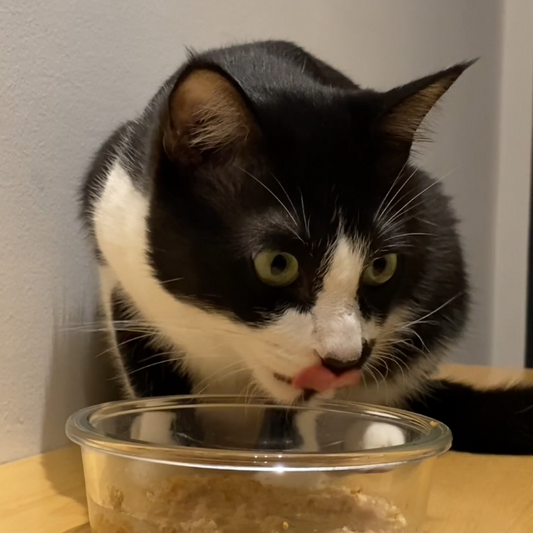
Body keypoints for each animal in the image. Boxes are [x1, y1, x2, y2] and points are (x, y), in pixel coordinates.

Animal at [80, 40, 532, 454]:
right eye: (278, 264)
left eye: (381, 265)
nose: (344, 360)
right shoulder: (119, 257)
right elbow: (152, 377)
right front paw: (154, 455)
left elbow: (298, 405)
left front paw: (288, 461)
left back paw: (377, 433)